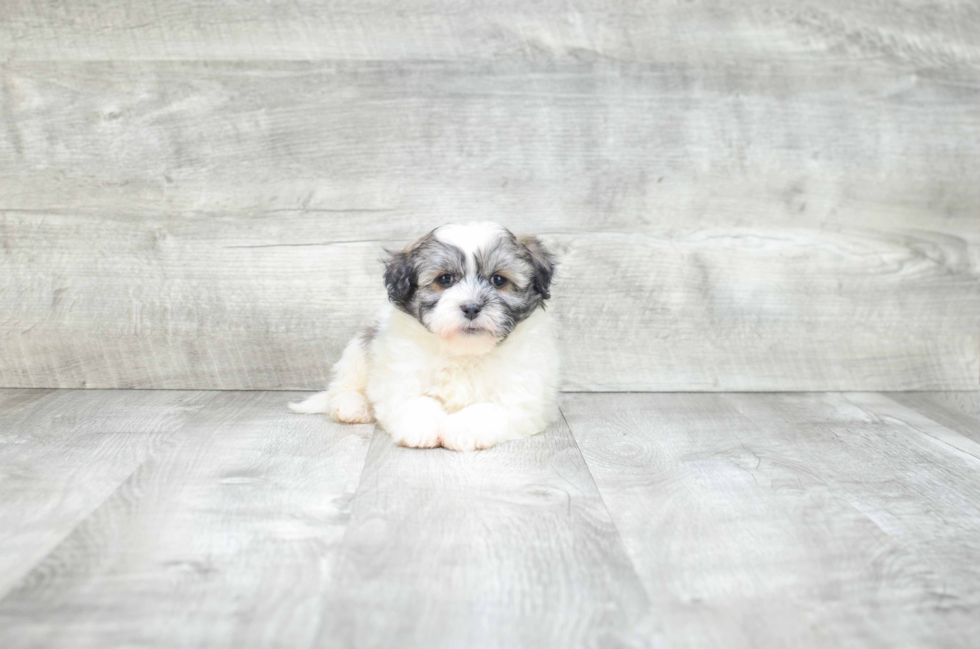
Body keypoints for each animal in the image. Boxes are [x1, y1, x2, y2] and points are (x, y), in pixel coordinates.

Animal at [290, 223, 560, 450]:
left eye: (499, 280)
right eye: (445, 279)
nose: (471, 307)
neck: (464, 352)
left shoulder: (523, 394)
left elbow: (488, 409)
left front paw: (464, 429)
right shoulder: (400, 374)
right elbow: (417, 401)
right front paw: (423, 427)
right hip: (359, 350)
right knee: (343, 387)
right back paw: (352, 405)